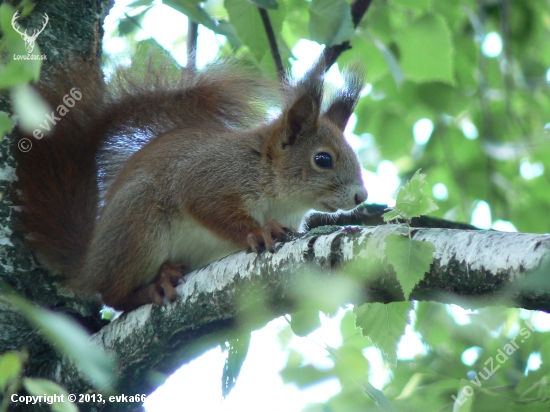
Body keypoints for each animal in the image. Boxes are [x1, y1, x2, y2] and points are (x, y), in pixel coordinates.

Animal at [15, 56, 370, 310]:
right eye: (322, 159)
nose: (361, 196)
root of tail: (89, 263)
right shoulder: (207, 178)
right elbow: (210, 208)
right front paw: (259, 231)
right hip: (138, 221)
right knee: (112, 296)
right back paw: (153, 286)